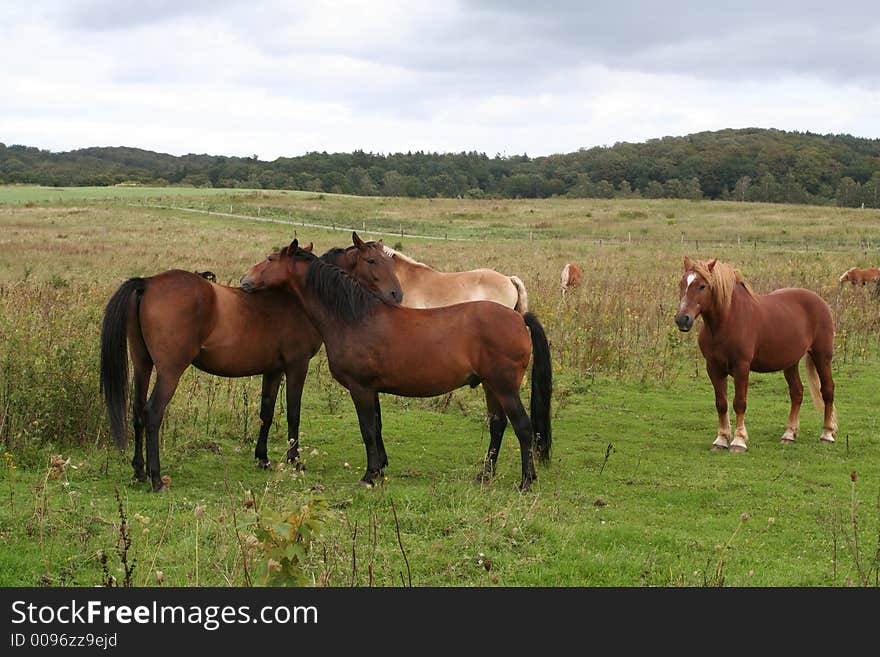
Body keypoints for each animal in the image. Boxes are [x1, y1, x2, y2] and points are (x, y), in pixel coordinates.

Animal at [100, 233, 402, 490]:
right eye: (372, 261)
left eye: (390, 261)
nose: (397, 296)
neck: (296, 300)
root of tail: (148, 283)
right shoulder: (296, 366)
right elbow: (293, 413)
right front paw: (294, 460)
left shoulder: (273, 370)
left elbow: (265, 412)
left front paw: (263, 457)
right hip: (169, 371)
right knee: (152, 413)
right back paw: (155, 478)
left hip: (143, 365)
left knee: (138, 411)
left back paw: (139, 472)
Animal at [672, 256, 840, 452]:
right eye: (682, 283)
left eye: (702, 286)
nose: (682, 319)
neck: (727, 322)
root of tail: (821, 301)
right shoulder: (714, 368)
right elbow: (721, 404)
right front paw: (721, 440)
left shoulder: (741, 367)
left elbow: (739, 403)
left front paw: (738, 441)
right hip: (790, 362)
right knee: (797, 392)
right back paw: (789, 435)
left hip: (822, 356)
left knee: (827, 390)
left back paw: (827, 434)